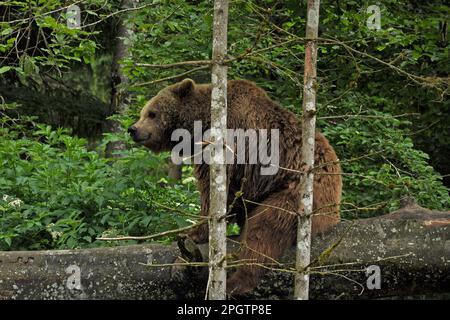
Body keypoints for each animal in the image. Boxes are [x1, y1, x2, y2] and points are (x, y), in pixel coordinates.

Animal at [128, 77, 342, 296]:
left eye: (152, 113)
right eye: (143, 112)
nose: (133, 129)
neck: (201, 124)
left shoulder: (229, 146)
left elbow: (214, 192)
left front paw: (194, 231)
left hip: (299, 192)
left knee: (265, 228)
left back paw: (236, 282)